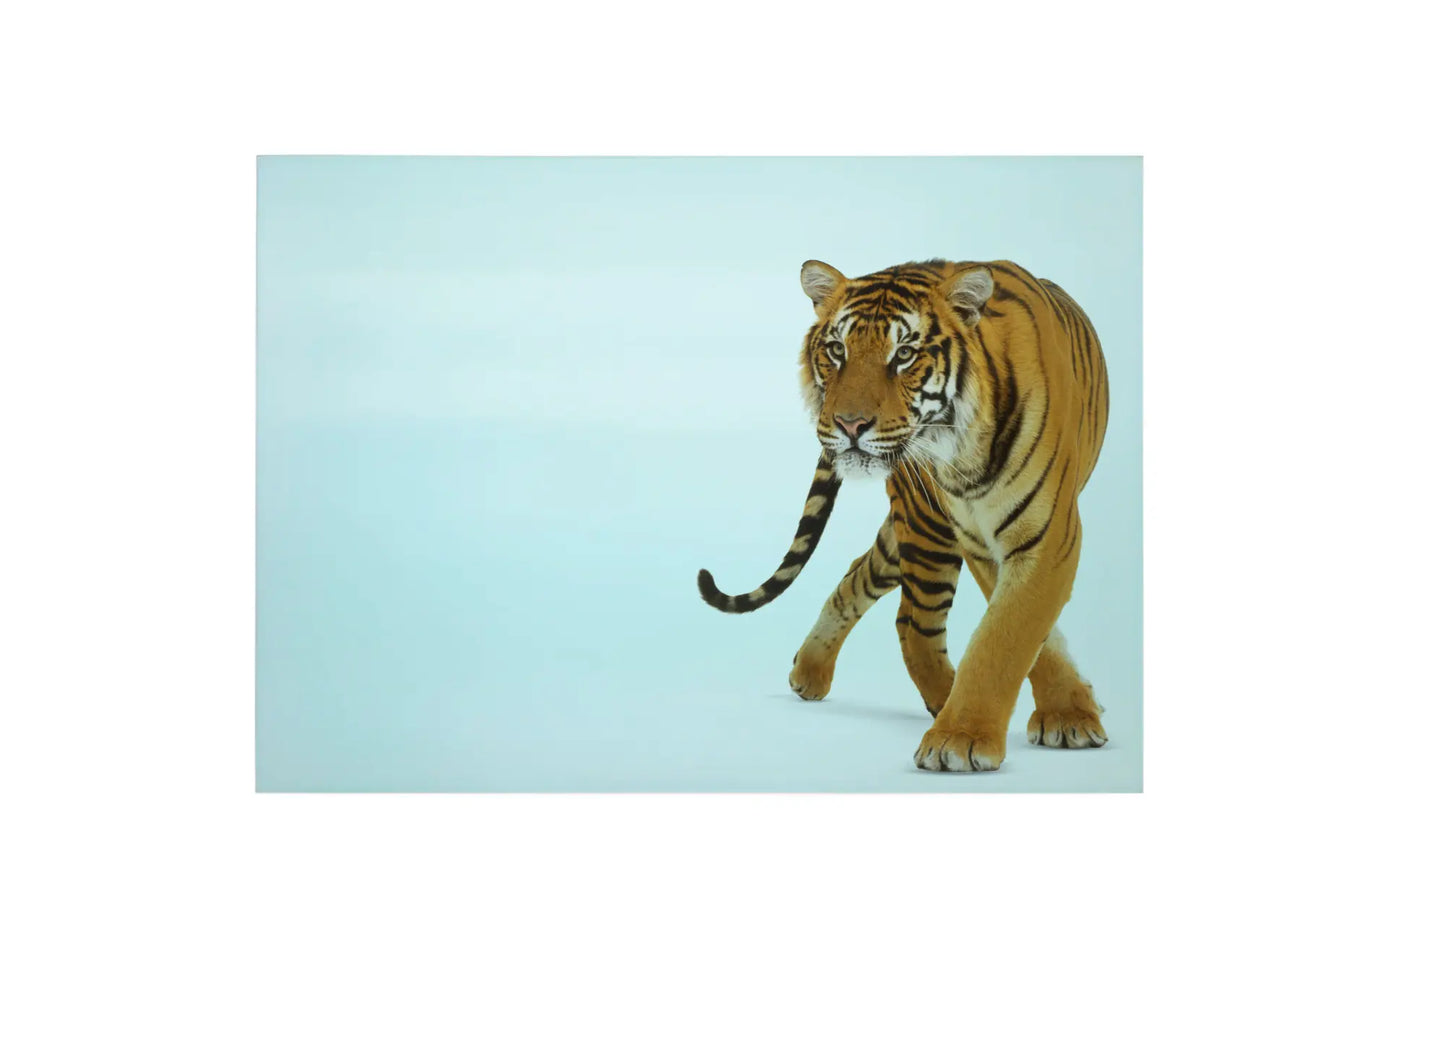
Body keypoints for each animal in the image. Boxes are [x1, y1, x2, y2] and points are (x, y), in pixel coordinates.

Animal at [697, 258, 1110, 773]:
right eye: (837, 350)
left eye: (905, 354)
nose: (849, 424)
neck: (963, 451)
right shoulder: (978, 540)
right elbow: (1013, 637)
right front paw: (964, 736)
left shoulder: (1046, 536)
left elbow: (1009, 634)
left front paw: (1062, 715)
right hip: (926, 525)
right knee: (912, 623)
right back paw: (936, 700)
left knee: (860, 576)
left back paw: (810, 670)